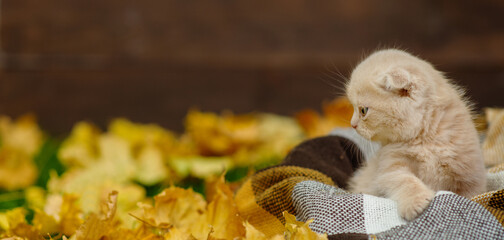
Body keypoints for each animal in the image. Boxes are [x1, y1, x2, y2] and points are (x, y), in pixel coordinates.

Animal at [346, 48, 484, 221]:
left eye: (363, 110)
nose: (352, 124)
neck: (424, 139)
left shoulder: (470, 175)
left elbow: (472, 194)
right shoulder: (389, 168)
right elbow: (405, 180)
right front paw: (416, 202)